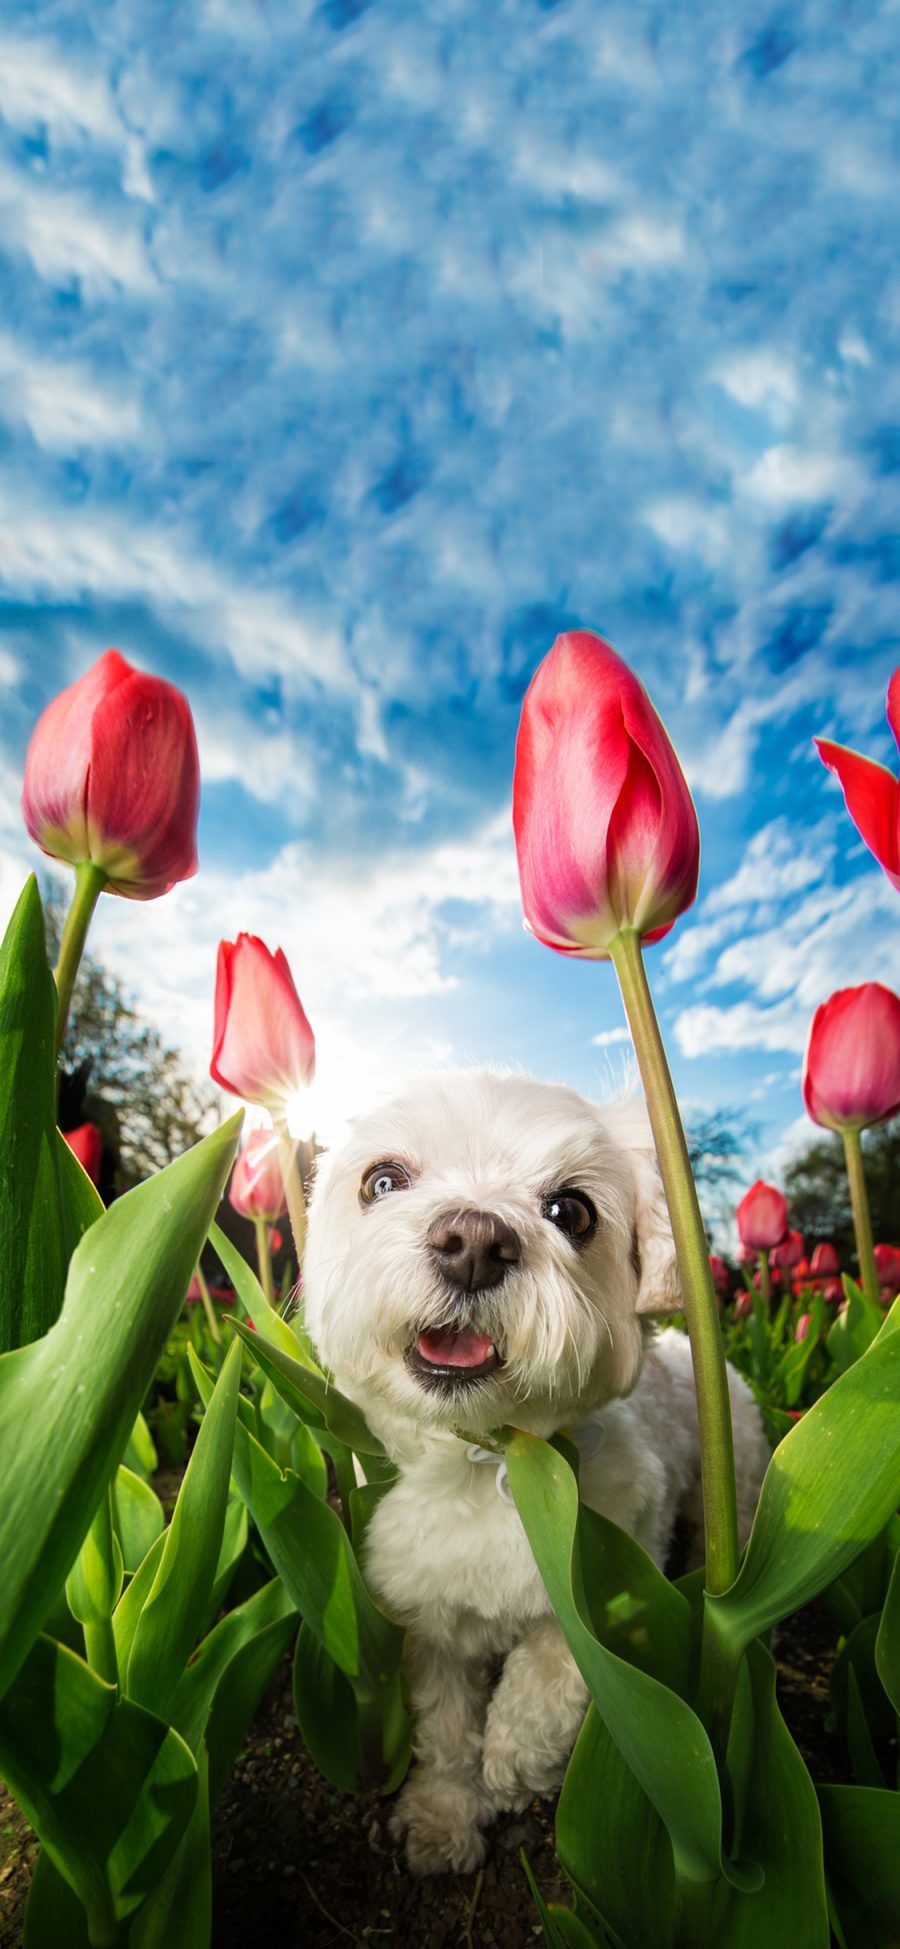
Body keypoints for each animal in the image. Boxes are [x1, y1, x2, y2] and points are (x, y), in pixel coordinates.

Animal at [301, 1068, 767, 1871]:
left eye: (570, 1210)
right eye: (382, 1180)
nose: (473, 1241)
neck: (491, 1459)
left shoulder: (614, 1583)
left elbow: (554, 1675)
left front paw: (512, 1768)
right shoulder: (427, 1619)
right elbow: (445, 1727)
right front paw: (444, 1814)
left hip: (725, 1490)